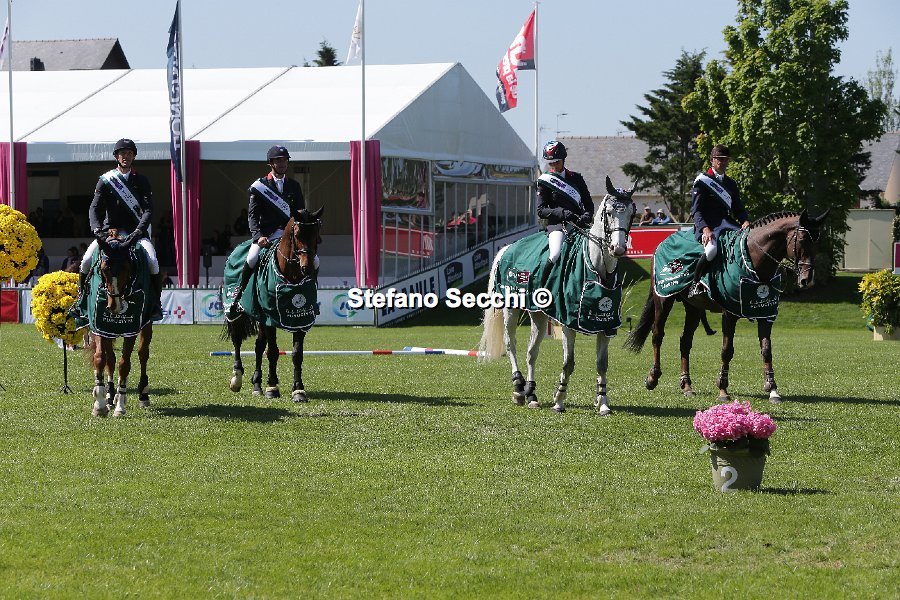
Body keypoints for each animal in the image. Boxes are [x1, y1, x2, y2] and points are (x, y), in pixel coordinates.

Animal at [87, 232, 154, 417]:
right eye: (104, 269)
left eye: (126, 268)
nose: (114, 307)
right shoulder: (100, 328)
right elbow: (100, 358)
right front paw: (100, 404)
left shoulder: (131, 330)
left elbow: (124, 364)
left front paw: (120, 406)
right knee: (111, 359)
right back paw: (111, 396)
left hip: (147, 324)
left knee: (143, 354)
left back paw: (142, 395)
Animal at [223, 207, 323, 403]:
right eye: (297, 234)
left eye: (316, 234)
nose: (307, 268)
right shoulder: (270, 318)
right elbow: (273, 352)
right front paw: (272, 388)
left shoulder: (301, 318)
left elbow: (297, 354)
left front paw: (298, 390)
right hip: (235, 312)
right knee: (237, 340)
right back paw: (237, 378)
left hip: (259, 315)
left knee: (258, 346)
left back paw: (257, 385)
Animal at [479, 177, 637, 415]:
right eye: (608, 212)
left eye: (632, 213)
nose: (617, 248)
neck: (597, 268)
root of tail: (508, 248)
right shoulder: (569, 323)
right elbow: (569, 363)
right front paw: (559, 400)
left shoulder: (606, 325)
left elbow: (602, 364)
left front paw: (603, 403)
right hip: (510, 307)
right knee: (510, 344)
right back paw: (518, 388)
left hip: (538, 314)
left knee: (531, 352)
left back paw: (532, 395)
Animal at [624, 209, 829, 402]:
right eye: (802, 240)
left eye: (818, 242)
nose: (807, 280)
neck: (753, 261)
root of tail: (663, 243)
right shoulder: (729, 314)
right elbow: (727, 350)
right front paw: (722, 390)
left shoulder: (766, 314)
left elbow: (766, 350)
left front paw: (772, 390)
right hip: (663, 299)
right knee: (657, 335)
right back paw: (652, 378)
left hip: (693, 308)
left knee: (685, 342)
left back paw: (687, 386)